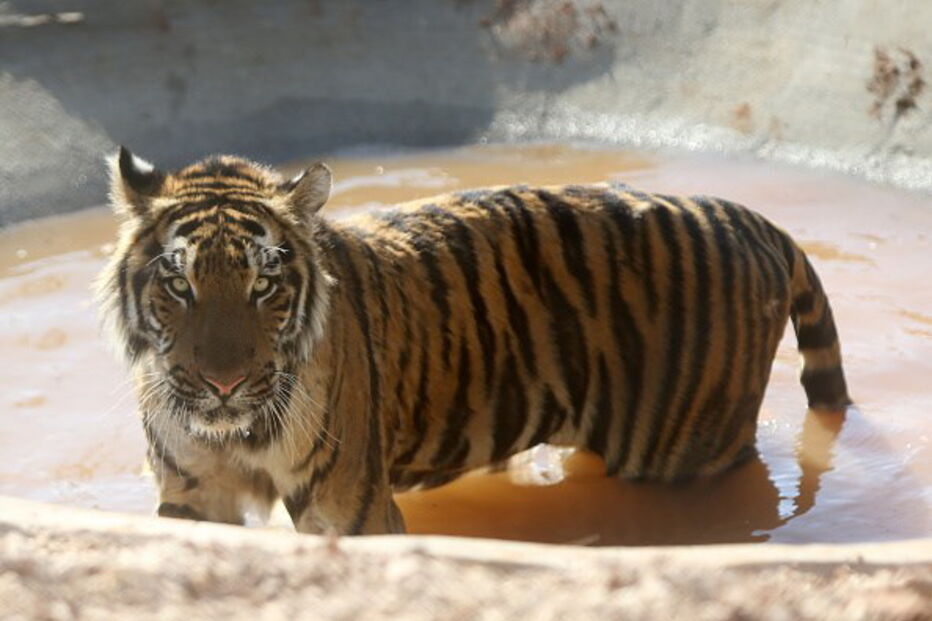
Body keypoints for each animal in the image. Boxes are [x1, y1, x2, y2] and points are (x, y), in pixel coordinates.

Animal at [97, 147, 850, 535]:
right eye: (180, 283)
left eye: (264, 285)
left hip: (681, 452)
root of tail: (753, 220)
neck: (237, 433)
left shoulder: (350, 507)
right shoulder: (194, 492)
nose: (222, 384)